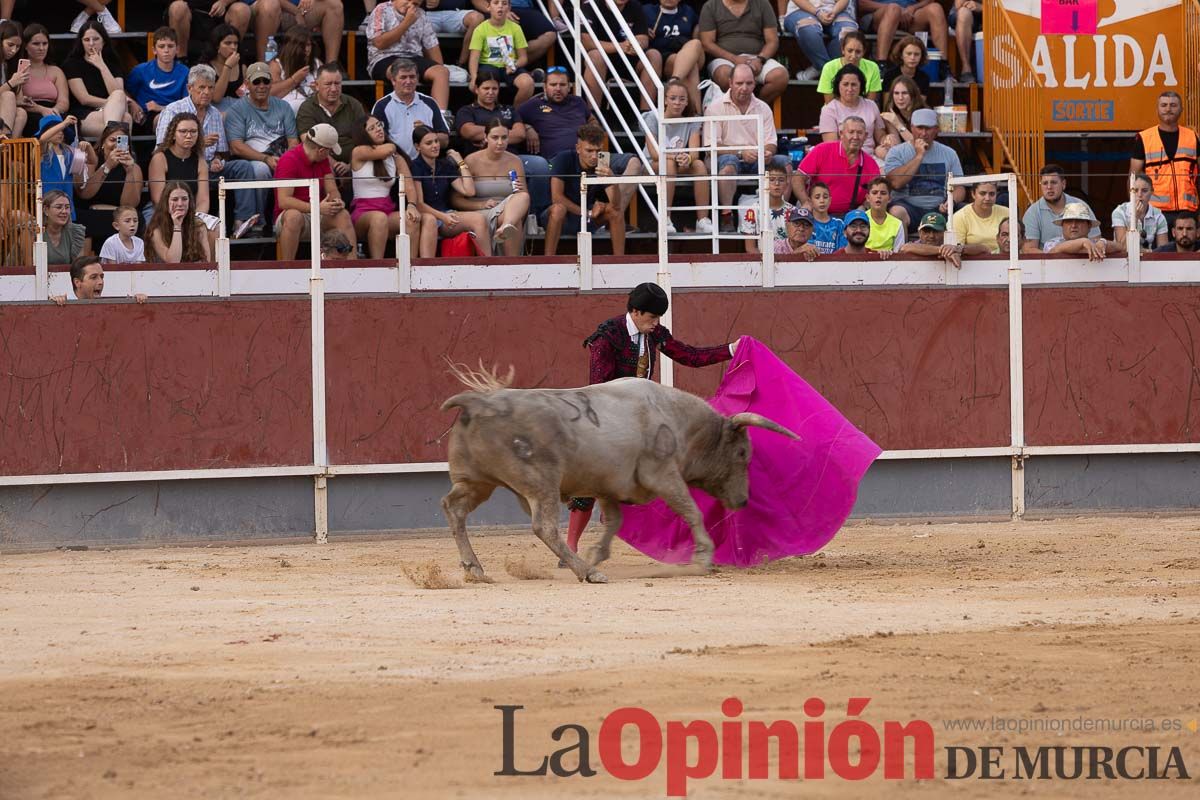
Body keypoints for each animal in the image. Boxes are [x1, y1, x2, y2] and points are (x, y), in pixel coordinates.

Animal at [439, 367, 796, 585]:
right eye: (742, 454)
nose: (743, 500)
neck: (678, 419)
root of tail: (478, 402)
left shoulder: (607, 486)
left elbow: (614, 521)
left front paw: (598, 552)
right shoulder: (663, 473)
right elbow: (690, 511)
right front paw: (704, 557)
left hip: (476, 482)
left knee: (454, 508)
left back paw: (475, 568)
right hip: (542, 483)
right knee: (545, 527)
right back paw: (588, 573)